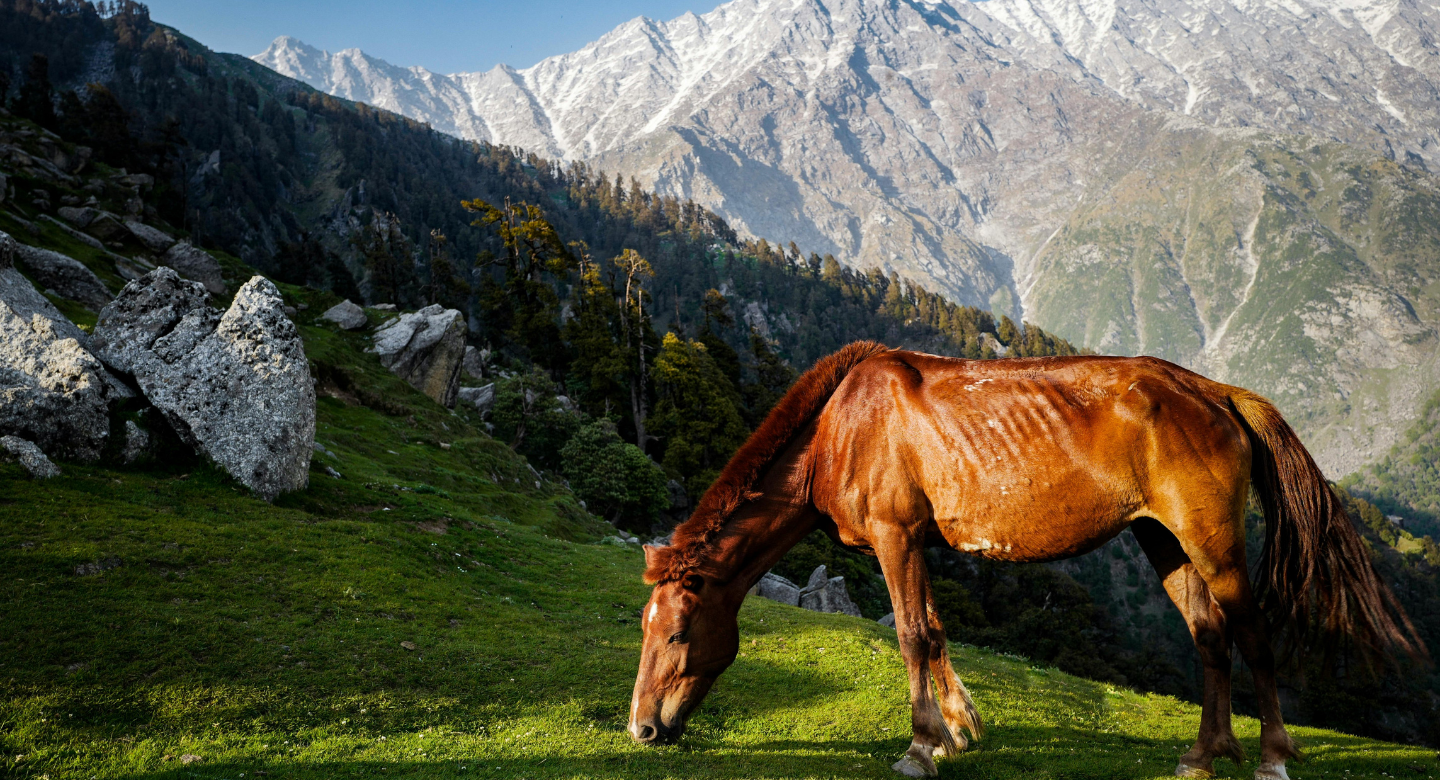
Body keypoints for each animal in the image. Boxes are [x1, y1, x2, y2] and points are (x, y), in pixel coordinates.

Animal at [630, 342, 1416, 780]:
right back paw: (1203, 756)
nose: (641, 730)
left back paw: (1271, 757)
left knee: (1251, 633)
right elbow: (936, 634)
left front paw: (920, 748)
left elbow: (911, 636)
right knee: (1210, 637)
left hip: (1212, 539)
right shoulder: (916, 542)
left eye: (676, 633)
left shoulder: (895, 536)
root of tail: (1216, 392)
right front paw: (955, 734)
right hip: (1165, 540)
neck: (841, 428)